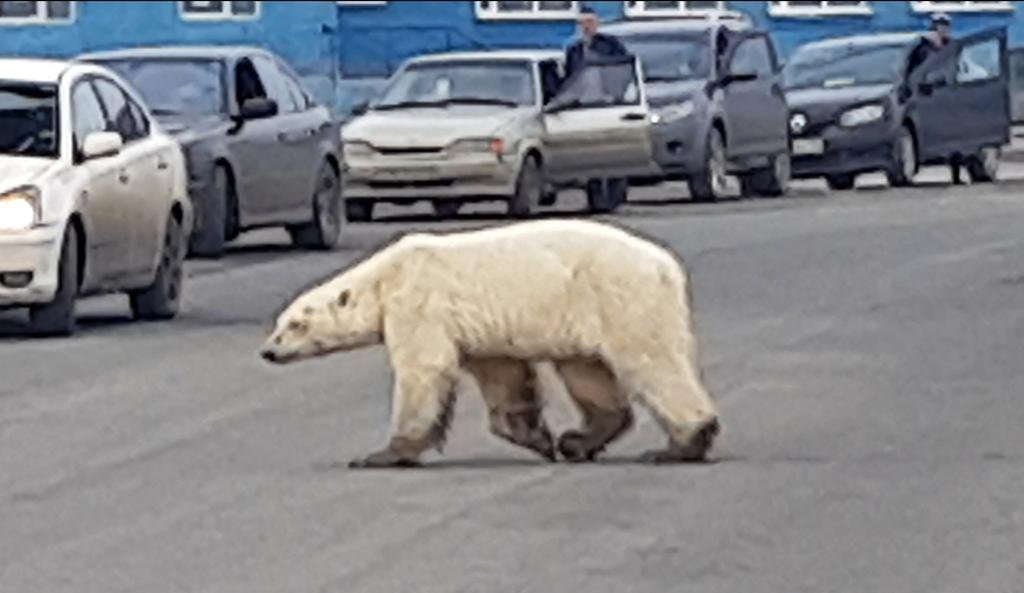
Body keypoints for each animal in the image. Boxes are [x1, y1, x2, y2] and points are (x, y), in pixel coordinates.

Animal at [258, 218, 720, 469]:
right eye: (279, 323)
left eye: (295, 324)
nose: (268, 351)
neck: (386, 276)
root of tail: (668, 267)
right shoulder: (482, 329)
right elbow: (503, 376)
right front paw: (539, 438)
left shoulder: (419, 304)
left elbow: (423, 370)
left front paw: (383, 455)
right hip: (585, 313)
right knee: (587, 372)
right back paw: (577, 441)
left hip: (620, 297)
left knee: (651, 361)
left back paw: (681, 444)